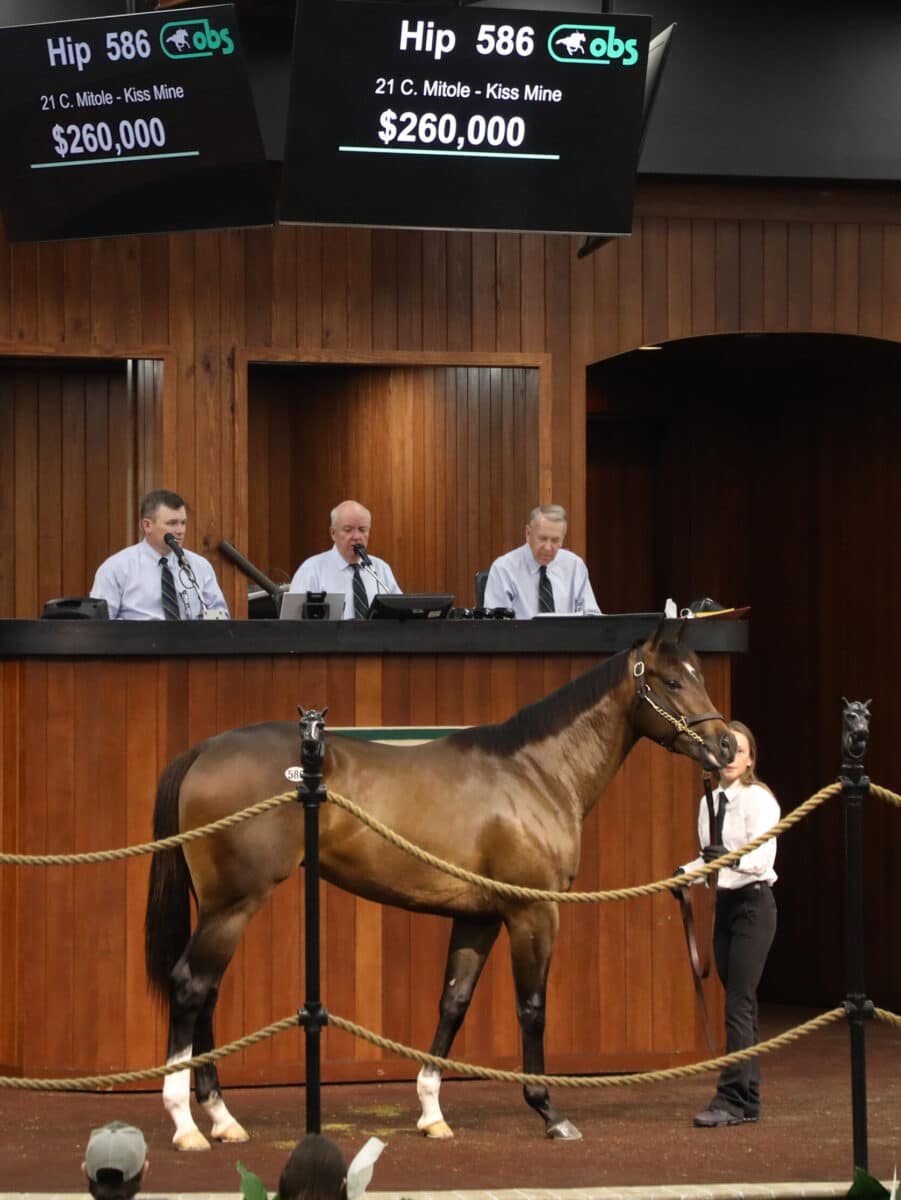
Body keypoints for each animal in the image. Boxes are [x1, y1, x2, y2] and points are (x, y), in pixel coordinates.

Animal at [144, 628, 734, 1142]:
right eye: (672, 681)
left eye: (699, 674)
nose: (727, 744)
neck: (535, 772)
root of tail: (204, 750)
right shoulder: (533, 912)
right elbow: (532, 1007)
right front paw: (548, 1111)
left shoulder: (478, 916)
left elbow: (453, 1000)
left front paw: (431, 1111)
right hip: (234, 904)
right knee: (191, 986)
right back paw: (186, 1124)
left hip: (219, 906)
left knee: (207, 993)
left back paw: (222, 1119)